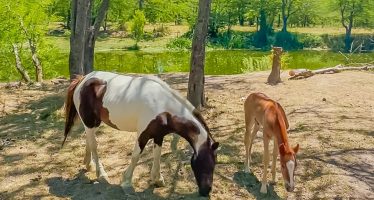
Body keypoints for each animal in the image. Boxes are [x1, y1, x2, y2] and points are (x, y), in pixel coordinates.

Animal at [61, 71, 219, 196]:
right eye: (207, 163)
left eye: (214, 164)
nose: (206, 191)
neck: (163, 107)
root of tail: (83, 79)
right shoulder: (143, 134)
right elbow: (136, 156)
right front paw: (126, 183)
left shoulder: (158, 135)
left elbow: (157, 155)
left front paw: (157, 179)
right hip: (89, 122)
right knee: (94, 145)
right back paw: (102, 175)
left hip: (94, 123)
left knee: (89, 140)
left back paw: (88, 165)